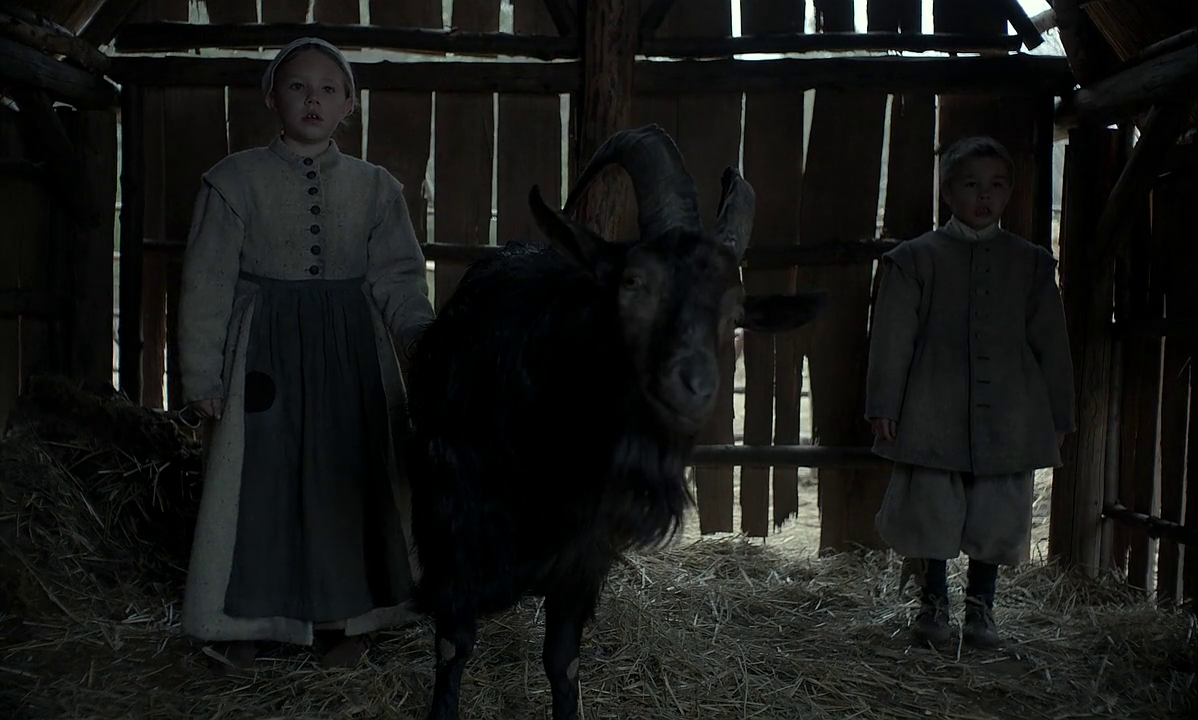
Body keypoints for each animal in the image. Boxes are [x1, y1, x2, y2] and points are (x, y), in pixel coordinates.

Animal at [401, 124, 829, 720]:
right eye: (634, 283)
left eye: (734, 313)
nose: (695, 386)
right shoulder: (452, 533)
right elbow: (452, 647)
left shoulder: (582, 561)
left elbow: (562, 661)